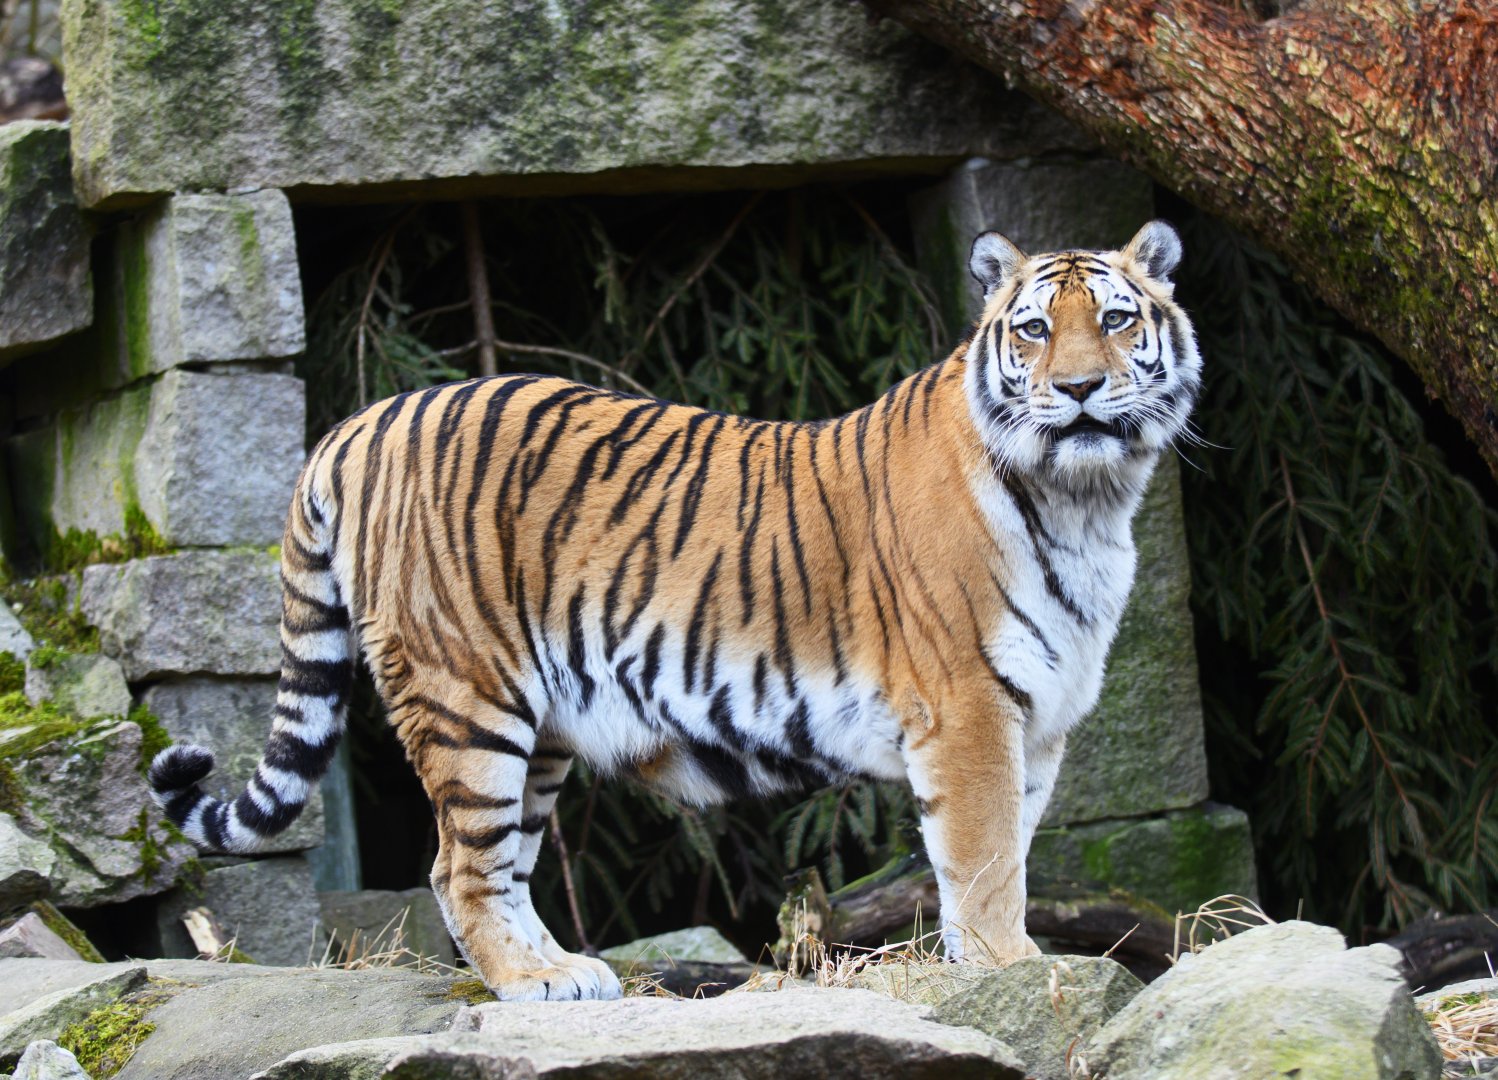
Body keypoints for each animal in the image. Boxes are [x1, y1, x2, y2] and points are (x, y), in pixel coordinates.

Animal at [148, 220, 1200, 1001]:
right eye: (1033, 330)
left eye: (1116, 319)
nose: (1078, 389)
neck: (1086, 500)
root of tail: (361, 420)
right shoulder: (969, 710)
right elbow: (985, 860)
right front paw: (1012, 969)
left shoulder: (1040, 720)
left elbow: (1007, 849)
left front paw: (985, 965)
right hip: (468, 695)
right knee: (457, 866)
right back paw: (526, 984)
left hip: (544, 729)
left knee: (506, 862)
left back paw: (566, 972)